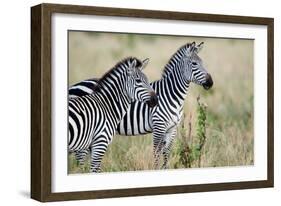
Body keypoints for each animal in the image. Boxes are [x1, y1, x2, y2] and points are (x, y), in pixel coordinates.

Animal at [69, 42, 212, 169]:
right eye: (194, 63)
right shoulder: (158, 126)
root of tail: (76, 84)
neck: (173, 96)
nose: (211, 82)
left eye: (203, 63)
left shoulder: (172, 129)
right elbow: (156, 154)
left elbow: (166, 154)